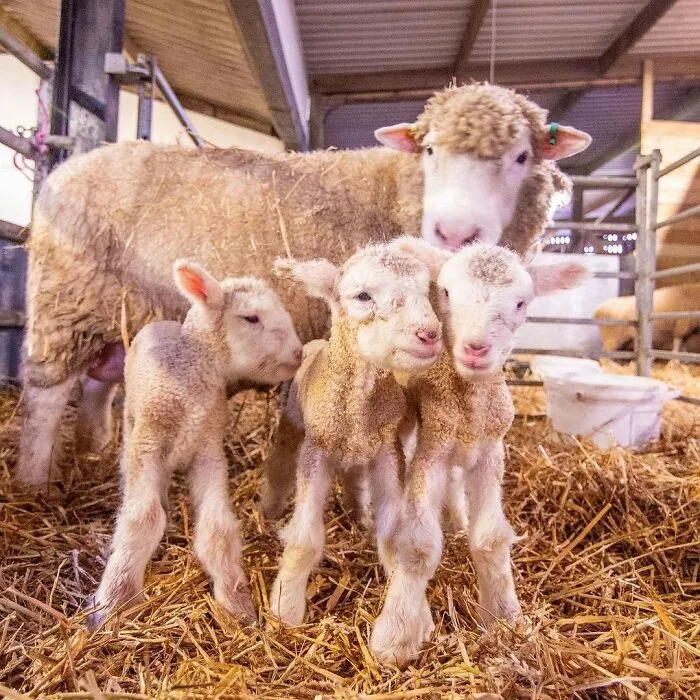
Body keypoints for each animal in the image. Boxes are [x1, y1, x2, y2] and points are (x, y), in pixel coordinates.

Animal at [18, 82, 591, 486]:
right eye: (429, 151)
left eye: (521, 156)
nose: (454, 232)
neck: (396, 189)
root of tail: (65, 169)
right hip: (65, 300)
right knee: (47, 394)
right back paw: (35, 480)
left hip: (116, 312)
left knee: (101, 381)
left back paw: (93, 451)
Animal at [88, 260, 302, 629]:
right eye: (251, 318)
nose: (299, 353)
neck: (190, 381)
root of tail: (162, 324)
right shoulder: (149, 442)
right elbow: (143, 517)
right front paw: (115, 599)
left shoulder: (208, 450)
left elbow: (216, 528)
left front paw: (236, 602)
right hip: (133, 419)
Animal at [266, 239, 443, 626]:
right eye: (363, 296)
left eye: (426, 291)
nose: (430, 334)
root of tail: (317, 343)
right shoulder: (315, 451)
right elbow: (304, 540)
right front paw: (286, 608)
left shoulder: (388, 453)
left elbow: (392, 537)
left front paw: (411, 611)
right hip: (292, 424)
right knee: (279, 463)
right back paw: (268, 511)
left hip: (360, 454)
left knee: (353, 479)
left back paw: (357, 515)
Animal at [369, 242, 589, 668]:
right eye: (446, 292)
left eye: (521, 302)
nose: (475, 348)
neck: (468, 405)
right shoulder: (431, 450)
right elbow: (418, 545)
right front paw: (397, 634)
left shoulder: (490, 452)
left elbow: (489, 537)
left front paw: (504, 619)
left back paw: (456, 520)